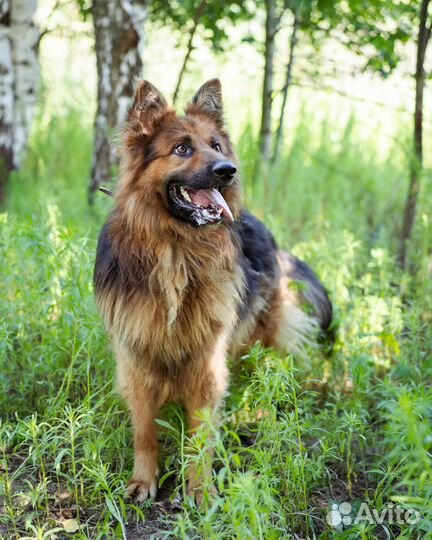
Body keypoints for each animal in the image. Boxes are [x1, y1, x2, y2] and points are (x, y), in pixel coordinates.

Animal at [93, 78, 332, 504]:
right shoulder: (136, 360)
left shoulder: (206, 363)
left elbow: (201, 434)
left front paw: (200, 490)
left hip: (261, 334)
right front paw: (144, 480)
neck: (176, 252)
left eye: (217, 145)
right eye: (182, 148)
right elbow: (144, 431)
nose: (228, 171)